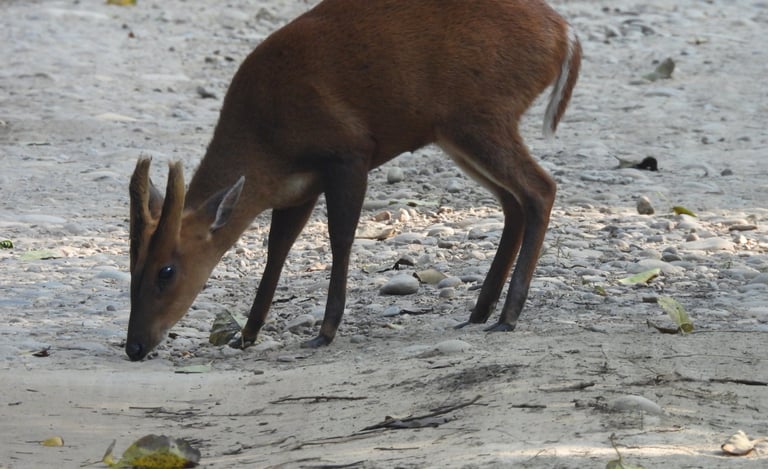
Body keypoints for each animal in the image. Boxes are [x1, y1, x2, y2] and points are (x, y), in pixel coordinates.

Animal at [126, 0, 581, 361]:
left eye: (166, 271)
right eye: (133, 266)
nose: (134, 346)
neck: (265, 143)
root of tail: (566, 34)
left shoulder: (348, 153)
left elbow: (340, 237)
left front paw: (324, 333)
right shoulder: (297, 189)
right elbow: (277, 249)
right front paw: (247, 334)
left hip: (482, 114)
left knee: (540, 188)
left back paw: (507, 317)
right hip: (457, 132)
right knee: (513, 203)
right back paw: (479, 312)